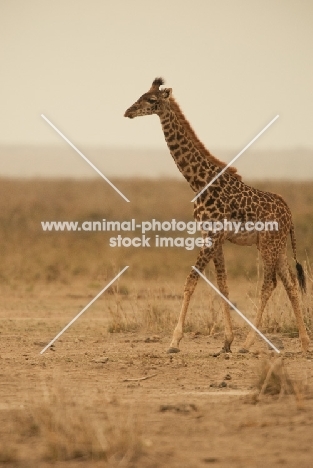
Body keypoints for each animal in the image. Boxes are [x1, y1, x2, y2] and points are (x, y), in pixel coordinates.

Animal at [123, 77, 308, 354]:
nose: (128, 112)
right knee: (291, 283)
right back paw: (305, 342)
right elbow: (222, 285)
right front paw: (226, 342)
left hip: (268, 244)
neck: (199, 182)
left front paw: (174, 341)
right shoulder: (214, 237)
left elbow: (191, 281)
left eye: (152, 100)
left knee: (269, 284)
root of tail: (290, 215)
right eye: (140, 95)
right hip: (278, 245)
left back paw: (249, 343)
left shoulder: (211, 235)